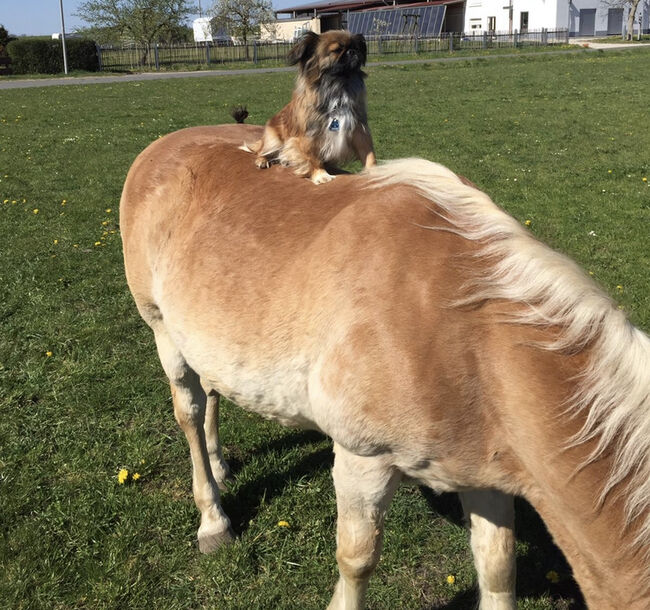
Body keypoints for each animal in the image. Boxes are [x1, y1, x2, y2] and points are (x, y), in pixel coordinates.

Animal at [121, 124, 648, 608]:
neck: (466, 337)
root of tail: (165, 144)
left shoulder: (489, 473)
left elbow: (497, 566)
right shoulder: (363, 458)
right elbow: (358, 559)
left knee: (211, 390)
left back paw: (219, 462)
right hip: (163, 330)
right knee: (189, 410)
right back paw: (212, 518)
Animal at [239, 30, 374, 183]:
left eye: (356, 48)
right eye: (337, 50)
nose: (352, 52)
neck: (338, 89)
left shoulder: (359, 130)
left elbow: (369, 154)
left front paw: (375, 171)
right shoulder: (309, 136)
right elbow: (313, 158)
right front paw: (321, 175)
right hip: (273, 140)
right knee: (262, 151)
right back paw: (262, 160)